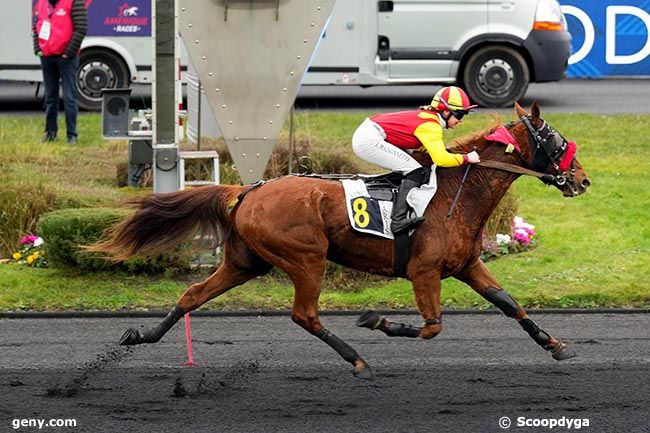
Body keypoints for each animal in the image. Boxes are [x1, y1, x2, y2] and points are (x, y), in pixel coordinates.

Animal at [88, 102, 588, 378]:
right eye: (556, 138)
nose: (581, 180)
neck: (453, 194)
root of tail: (248, 190)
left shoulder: (466, 265)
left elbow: (509, 303)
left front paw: (555, 344)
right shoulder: (424, 270)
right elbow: (431, 326)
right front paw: (378, 321)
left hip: (246, 261)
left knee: (193, 293)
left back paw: (141, 336)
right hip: (307, 258)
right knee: (304, 314)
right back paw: (357, 359)